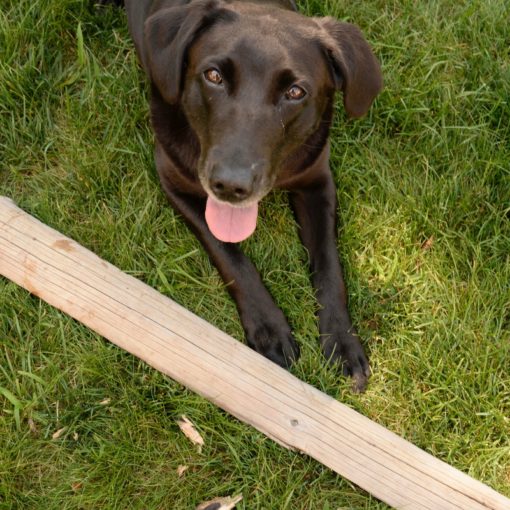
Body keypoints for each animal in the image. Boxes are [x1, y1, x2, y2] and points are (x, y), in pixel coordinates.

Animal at [110, 0, 382, 392]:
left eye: (295, 92)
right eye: (213, 76)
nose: (230, 185)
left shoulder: (317, 181)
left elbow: (330, 265)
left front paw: (342, 341)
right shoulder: (174, 180)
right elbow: (229, 254)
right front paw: (268, 327)